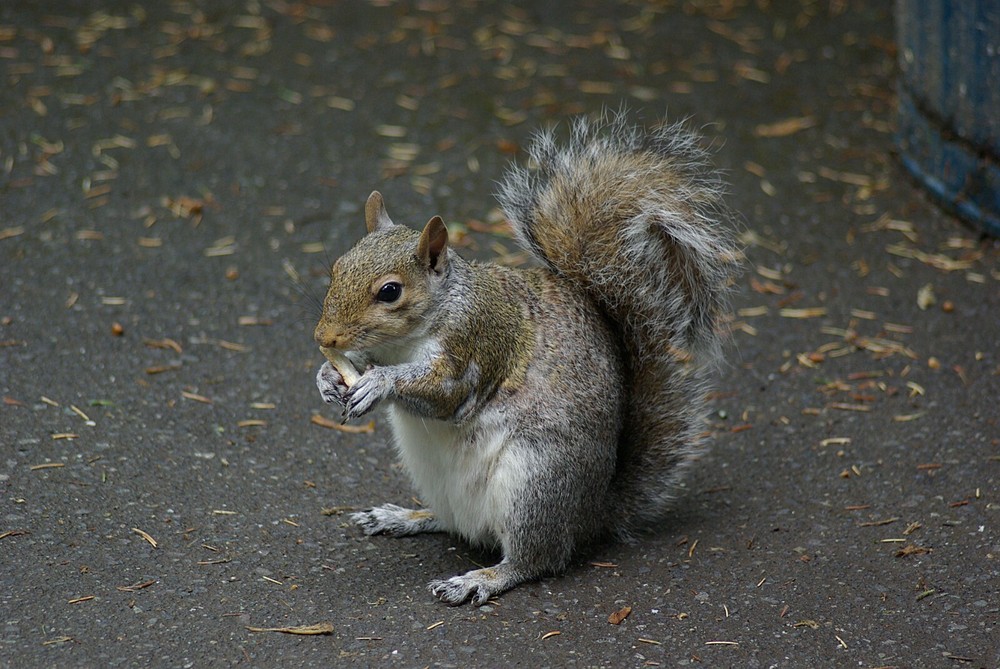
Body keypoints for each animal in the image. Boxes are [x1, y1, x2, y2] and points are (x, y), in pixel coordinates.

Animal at [314, 113, 740, 606]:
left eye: (390, 292)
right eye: (337, 267)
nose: (322, 336)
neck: (409, 338)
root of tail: (591, 516)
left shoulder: (477, 341)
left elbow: (445, 391)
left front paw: (379, 382)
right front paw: (327, 376)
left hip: (534, 482)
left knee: (535, 559)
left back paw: (481, 578)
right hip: (435, 475)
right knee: (457, 524)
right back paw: (405, 517)